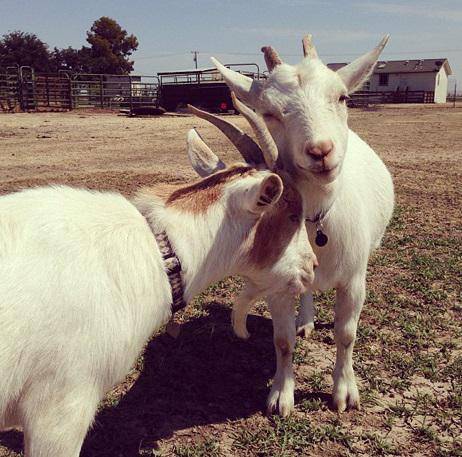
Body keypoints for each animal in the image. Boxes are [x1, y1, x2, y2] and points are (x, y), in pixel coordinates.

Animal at [193, 35, 396, 414]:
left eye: (342, 97)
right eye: (270, 113)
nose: (320, 151)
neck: (319, 223)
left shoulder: (354, 279)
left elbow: (346, 334)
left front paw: (344, 393)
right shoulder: (278, 285)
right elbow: (283, 340)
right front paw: (280, 395)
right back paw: (307, 320)